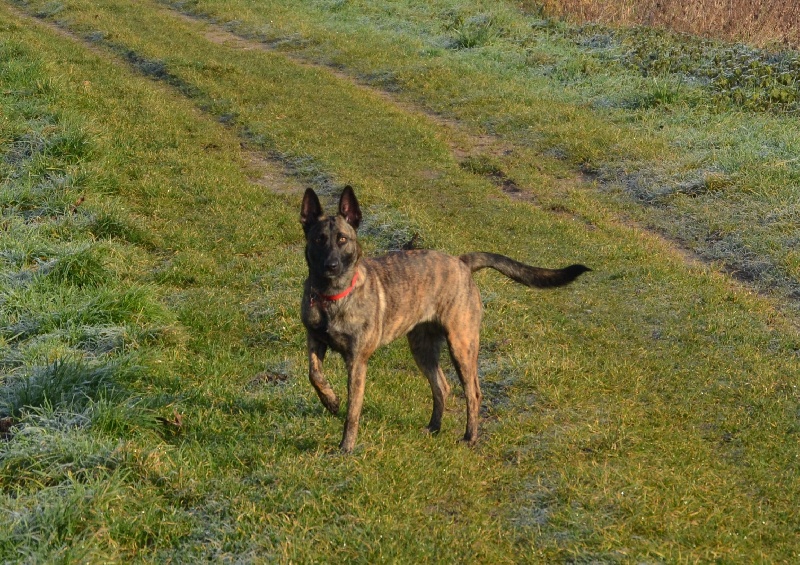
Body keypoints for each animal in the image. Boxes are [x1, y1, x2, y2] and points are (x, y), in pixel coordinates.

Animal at [300, 187, 588, 452]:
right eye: (319, 240)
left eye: (342, 239)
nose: (331, 266)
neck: (332, 296)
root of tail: (462, 262)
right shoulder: (314, 340)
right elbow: (314, 374)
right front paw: (330, 400)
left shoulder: (357, 361)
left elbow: (353, 411)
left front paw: (346, 447)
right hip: (423, 348)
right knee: (442, 386)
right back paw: (434, 427)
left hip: (461, 345)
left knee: (473, 393)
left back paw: (469, 437)